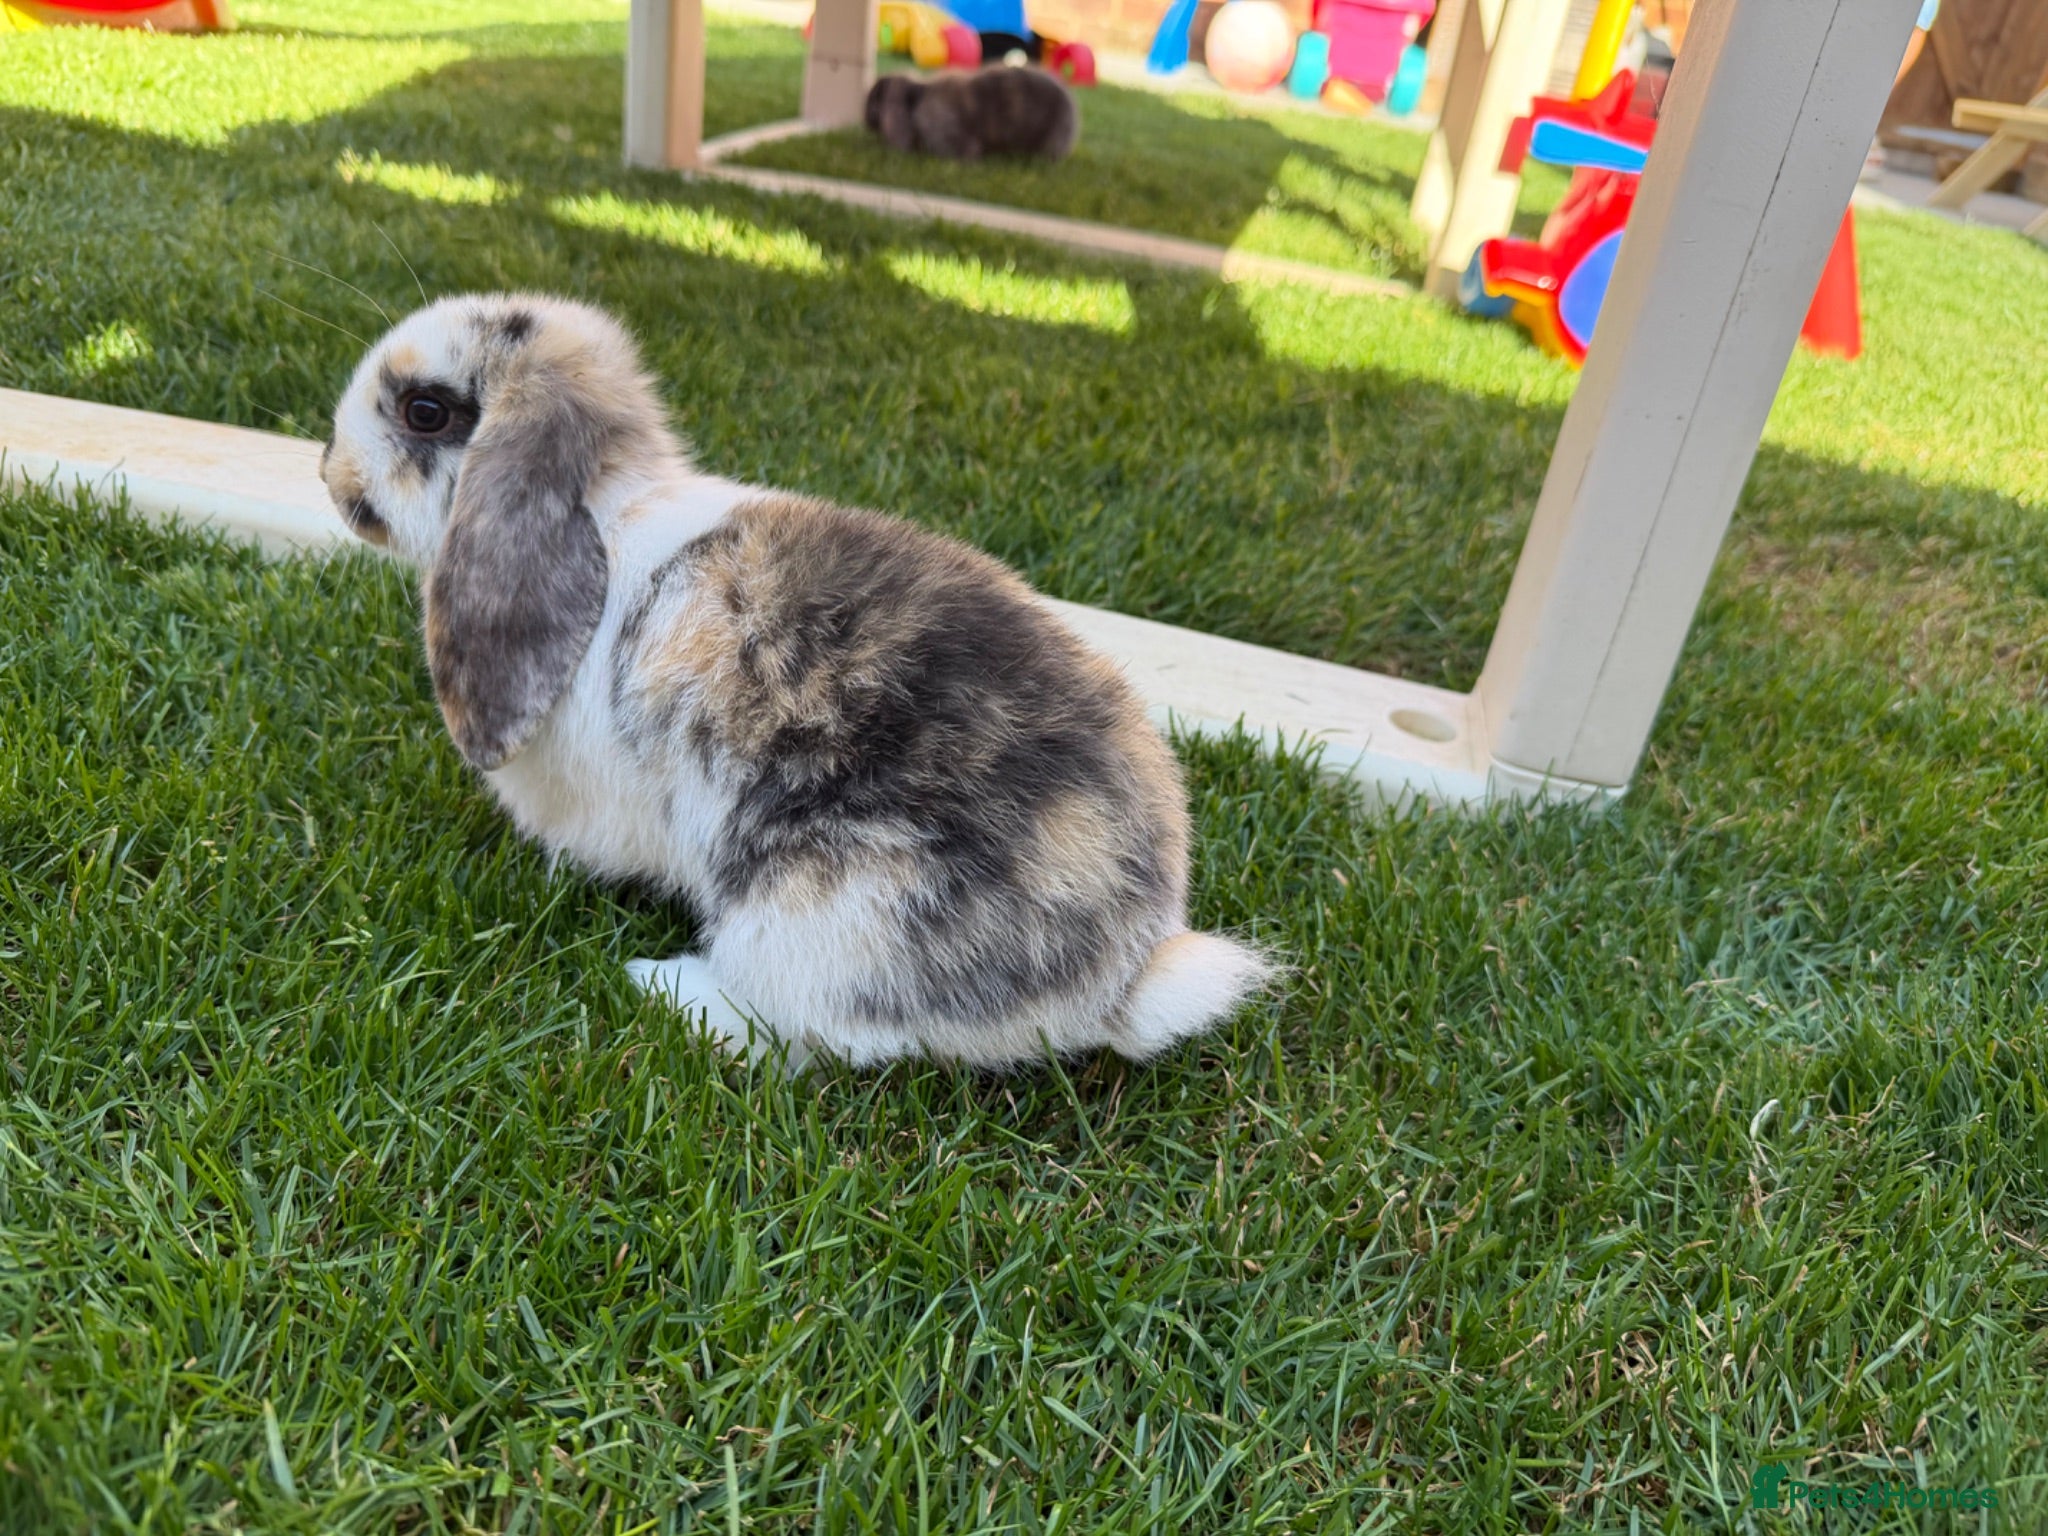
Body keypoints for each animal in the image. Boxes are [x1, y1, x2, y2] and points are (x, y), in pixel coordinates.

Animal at [319, 293, 1269, 1071]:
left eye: (425, 411)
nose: (328, 469)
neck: (608, 517)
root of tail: (1121, 976)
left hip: (816, 912)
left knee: (807, 1035)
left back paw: (657, 983)